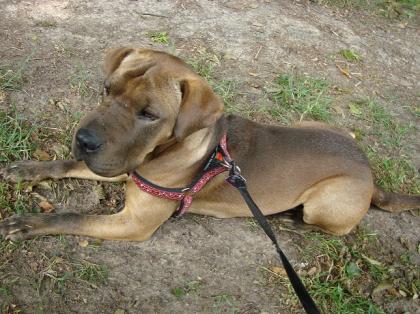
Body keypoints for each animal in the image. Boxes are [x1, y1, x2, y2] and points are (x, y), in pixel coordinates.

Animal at [0, 47, 418, 242]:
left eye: (149, 114)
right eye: (107, 89)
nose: (83, 139)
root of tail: (369, 171)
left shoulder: (132, 222)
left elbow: (73, 217)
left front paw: (29, 223)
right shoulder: (126, 168)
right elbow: (70, 165)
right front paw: (29, 169)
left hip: (326, 201)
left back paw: (291, 221)